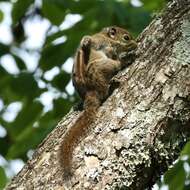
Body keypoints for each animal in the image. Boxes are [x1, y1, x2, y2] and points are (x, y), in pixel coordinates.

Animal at [59, 25, 137, 181]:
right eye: (126, 38)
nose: (136, 44)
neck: (108, 39)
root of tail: (91, 94)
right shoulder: (100, 42)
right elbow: (89, 43)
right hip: (103, 67)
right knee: (107, 85)